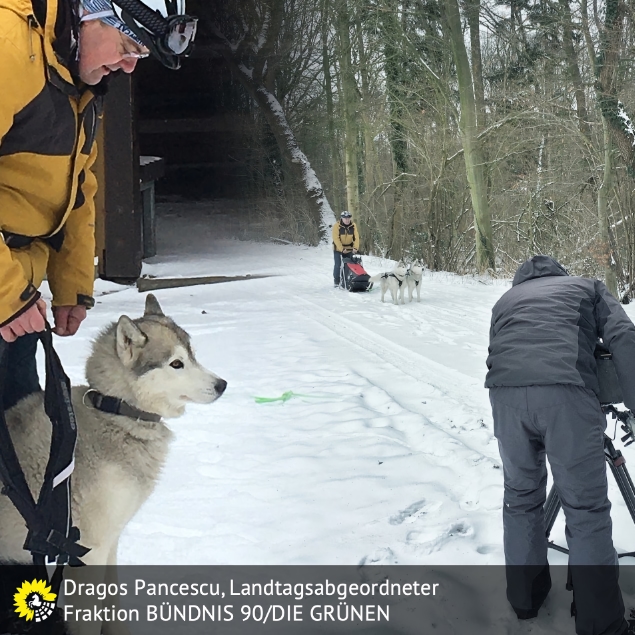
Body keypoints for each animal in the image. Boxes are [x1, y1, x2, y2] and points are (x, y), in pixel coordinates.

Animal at [0, 296, 227, 632]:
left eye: (192, 356)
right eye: (176, 363)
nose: (222, 384)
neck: (115, 412)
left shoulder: (110, 543)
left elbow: (113, 601)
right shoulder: (87, 552)